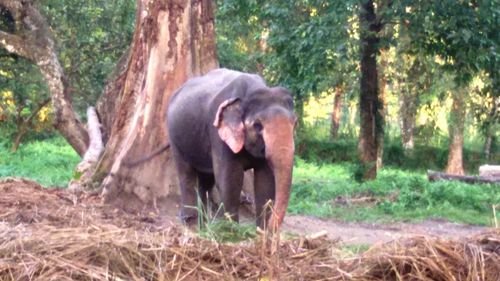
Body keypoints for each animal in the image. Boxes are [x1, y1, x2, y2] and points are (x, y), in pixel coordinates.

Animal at [166, 68, 294, 230]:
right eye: (257, 125)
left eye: (295, 123)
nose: (272, 229)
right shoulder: (218, 133)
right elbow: (230, 178)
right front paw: (230, 231)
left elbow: (265, 182)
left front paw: (261, 232)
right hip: (175, 137)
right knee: (186, 174)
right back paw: (191, 223)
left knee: (206, 179)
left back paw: (204, 226)